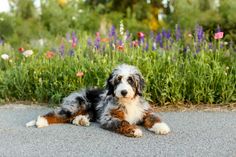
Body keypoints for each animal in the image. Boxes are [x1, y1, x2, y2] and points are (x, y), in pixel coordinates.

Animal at [25, 63, 170, 137]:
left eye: (130, 80)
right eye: (118, 80)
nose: (123, 92)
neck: (127, 102)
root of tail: (74, 92)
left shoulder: (144, 111)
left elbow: (153, 117)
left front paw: (161, 127)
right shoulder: (108, 116)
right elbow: (122, 122)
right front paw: (133, 130)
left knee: (72, 119)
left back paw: (81, 120)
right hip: (77, 105)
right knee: (58, 114)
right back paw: (42, 121)